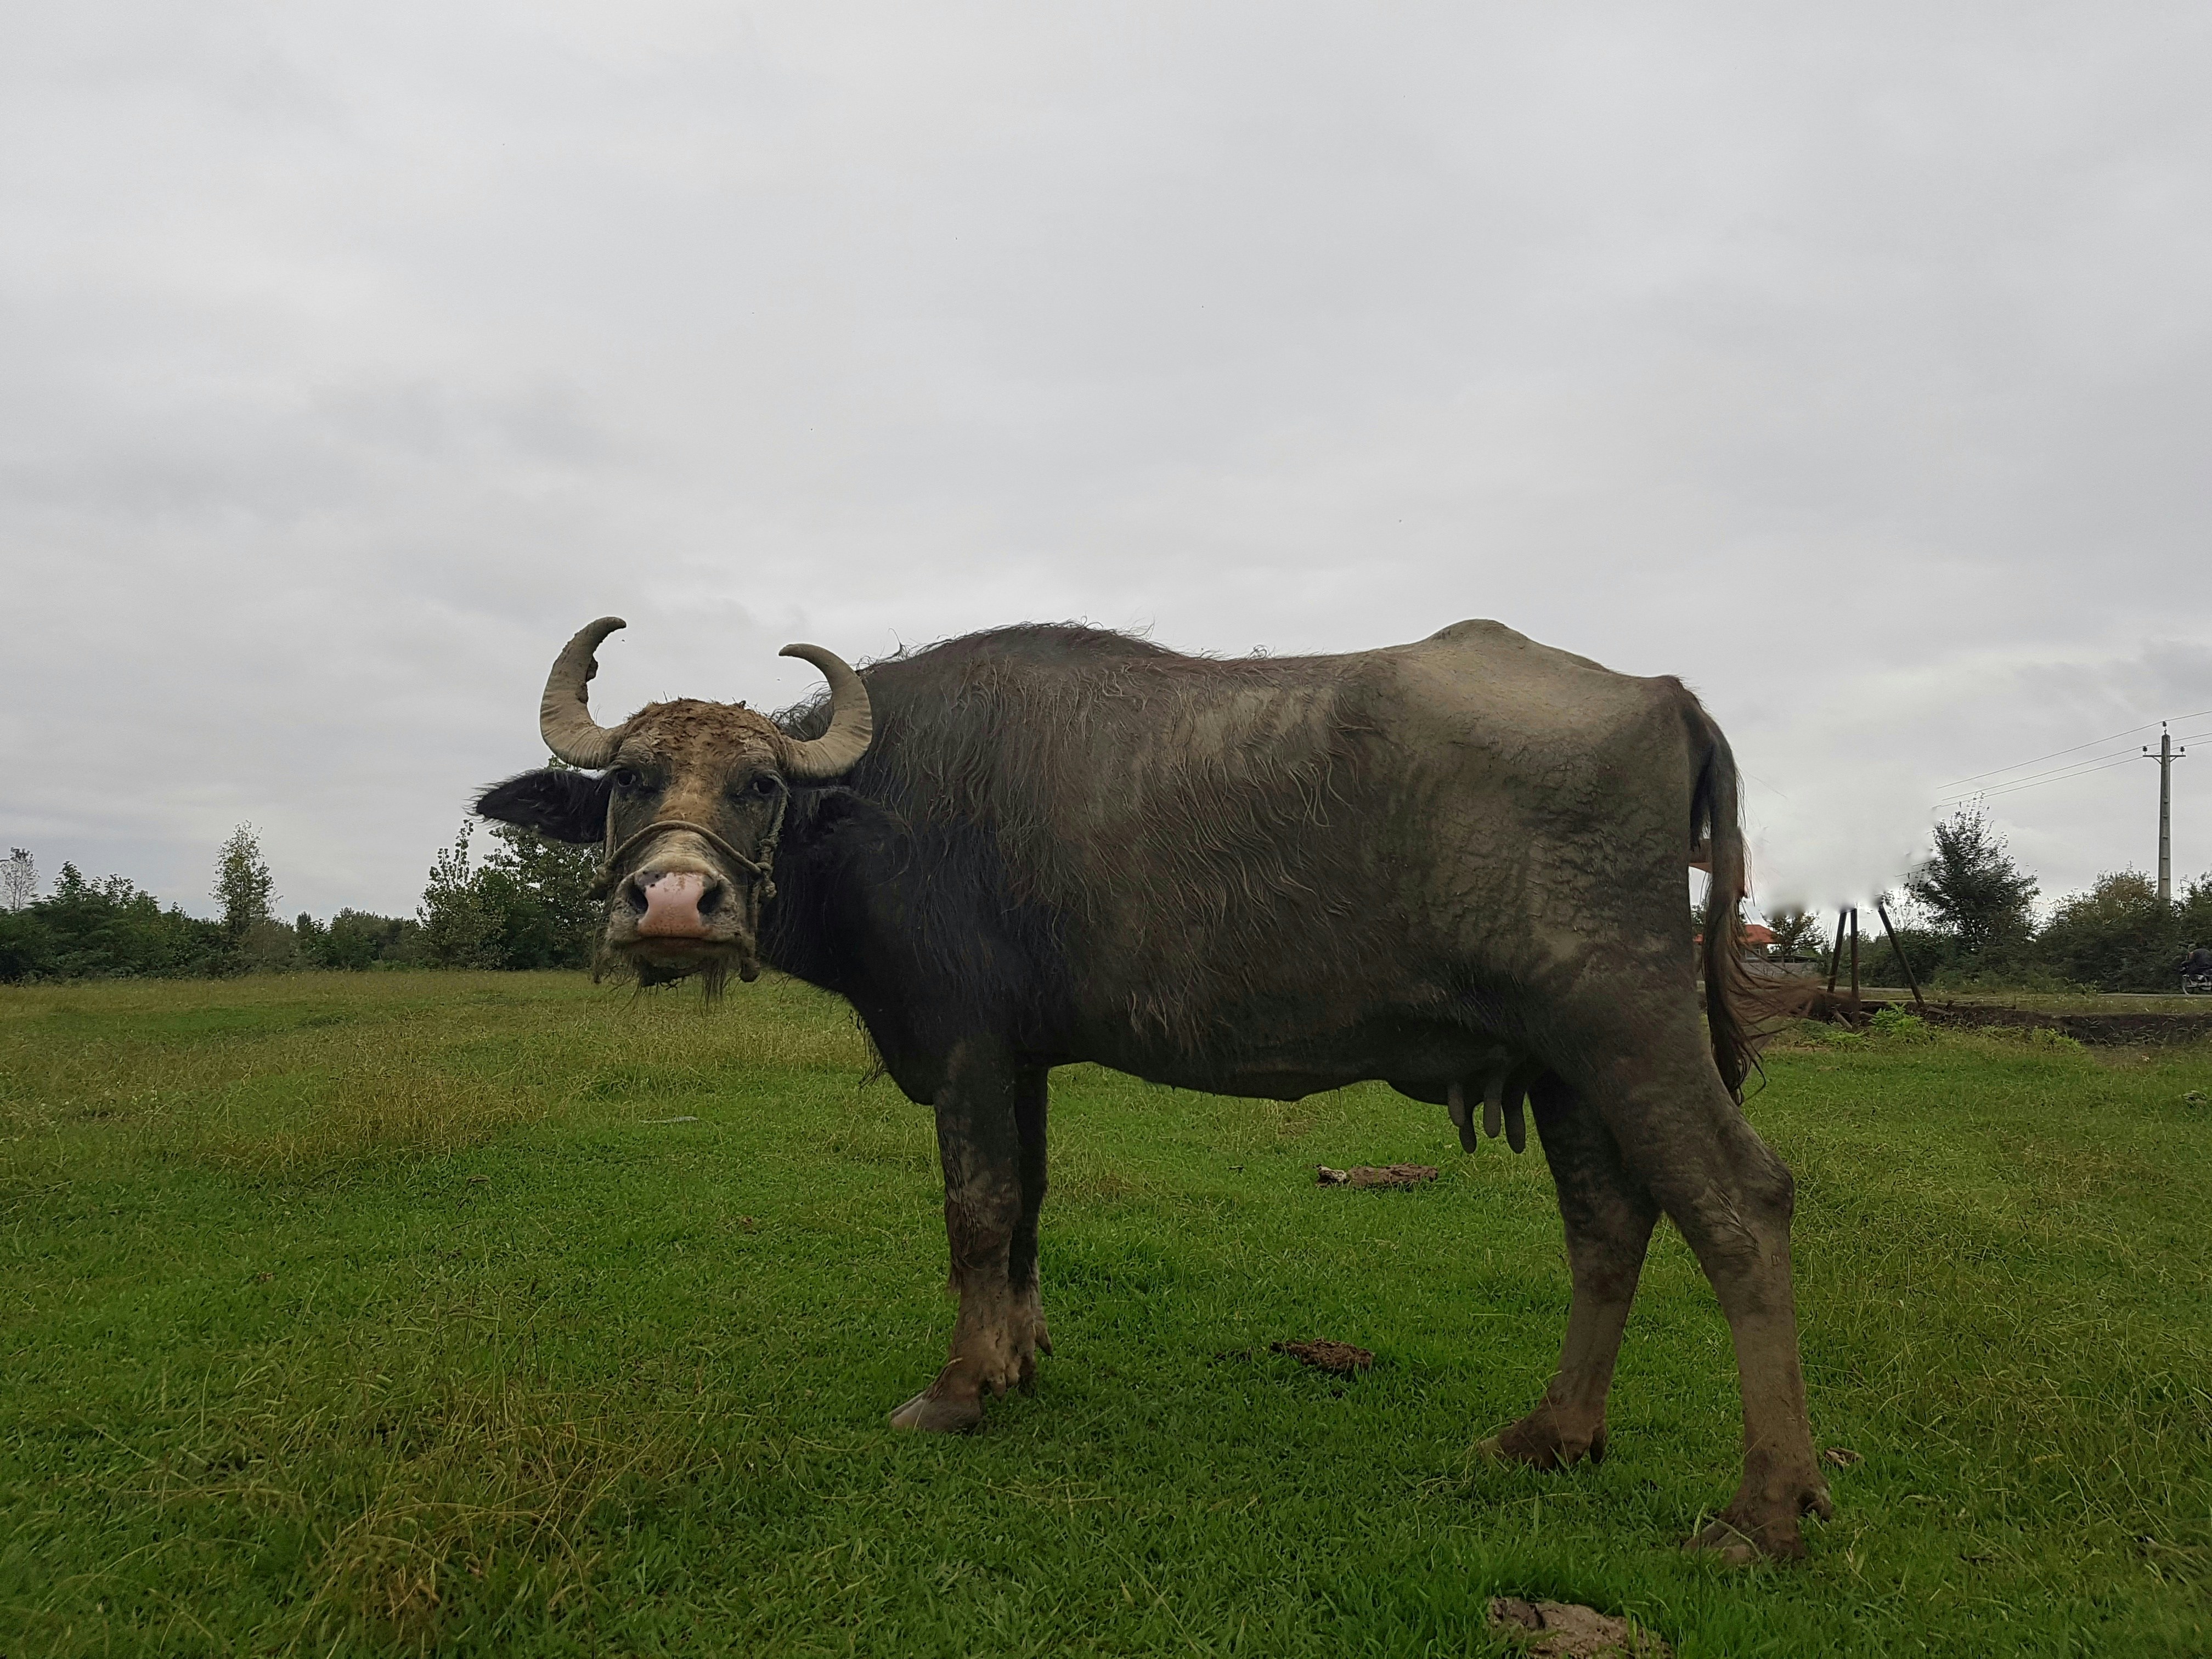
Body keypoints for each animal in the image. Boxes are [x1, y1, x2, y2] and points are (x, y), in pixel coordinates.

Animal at [477, 615, 1830, 1562]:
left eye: (760, 787)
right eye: (630, 781)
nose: (672, 905)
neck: (885, 807)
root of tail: (1662, 696)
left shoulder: (964, 1044)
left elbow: (974, 1210)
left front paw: (957, 1389)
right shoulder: (1020, 1058)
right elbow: (1024, 1209)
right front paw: (1017, 1357)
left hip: (1627, 1023)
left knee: (1739, 1206)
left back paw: (1762, 1512)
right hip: (1563, 1064)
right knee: (1609, 1222)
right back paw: (1551, 1438)